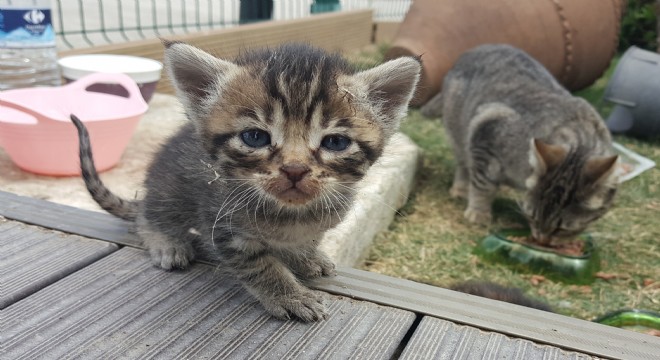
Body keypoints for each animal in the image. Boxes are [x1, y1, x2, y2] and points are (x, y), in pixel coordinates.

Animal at [72, 41, 420, 320]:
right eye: (255, 137)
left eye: (335, 142)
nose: (295, 169)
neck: (290, 214)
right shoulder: (224, 229)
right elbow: (261, 266)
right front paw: (290, 295)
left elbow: (306, 241)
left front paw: (307, 257)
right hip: (168, 191)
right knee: (149, 215)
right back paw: (165, 241)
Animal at [422, 43, 620, 243]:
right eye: (533, 217)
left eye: (562, 229)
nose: (541, 240)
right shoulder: (486, 130)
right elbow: (483, 184)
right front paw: (479, 213)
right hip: (459, 132)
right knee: (463, 163)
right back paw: (461, 189)